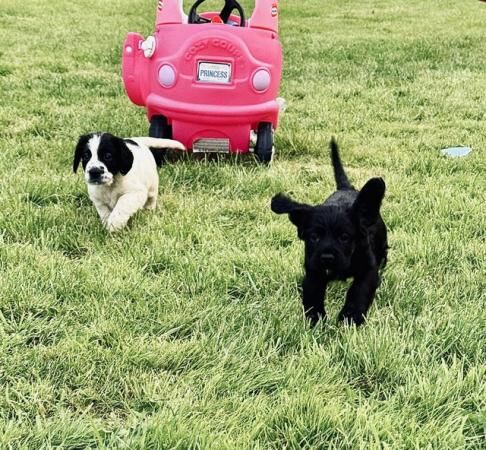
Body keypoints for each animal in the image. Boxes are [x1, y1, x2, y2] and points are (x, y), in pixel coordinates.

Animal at [270, 139, 388, 326]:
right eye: (314, 237)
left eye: (345, 237)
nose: (327, 257)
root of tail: (346, 187)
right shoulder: (313, 269)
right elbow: (313, 295)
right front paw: (315, 319)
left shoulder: (368, 269)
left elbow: (359, 291)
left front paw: (350, 317)